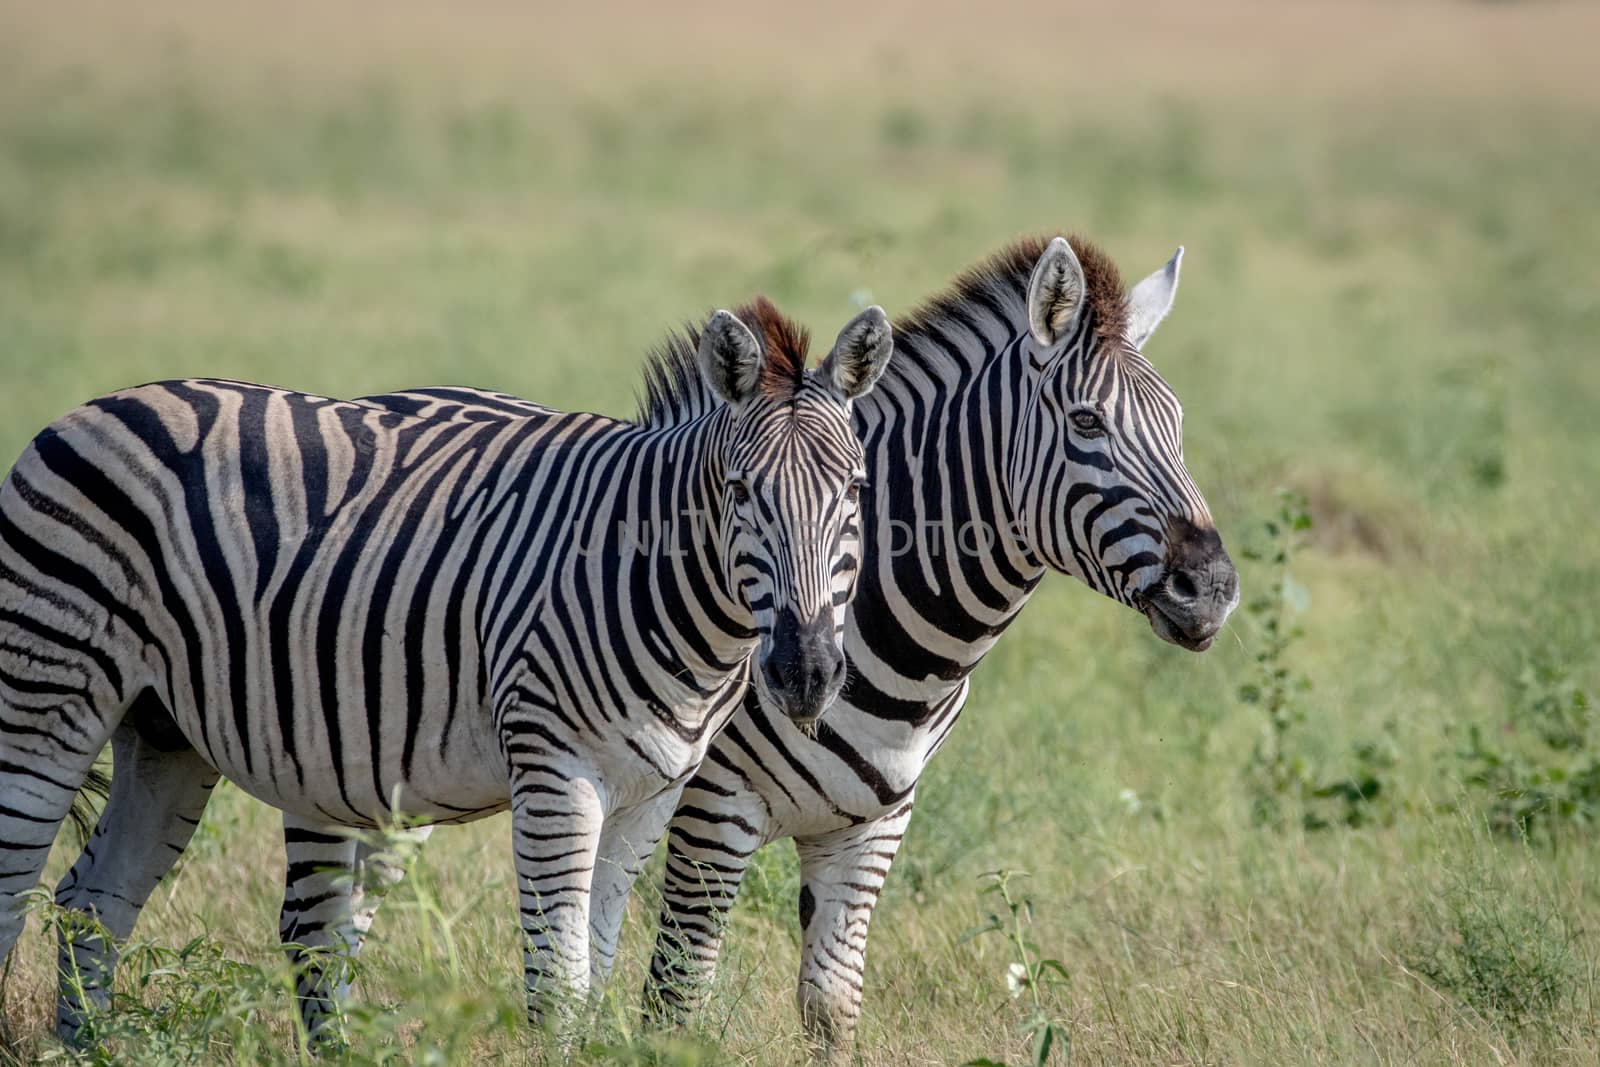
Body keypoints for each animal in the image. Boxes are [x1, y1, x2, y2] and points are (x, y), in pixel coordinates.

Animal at [0, 294, 896, 1043]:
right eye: (742, 492)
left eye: (857, 490)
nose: (807, 672)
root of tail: (95, 406)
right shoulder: (554, 772)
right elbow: (558, 987)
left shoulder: (652, 792)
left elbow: (597, 972)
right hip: (47, 692)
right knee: (17, 885)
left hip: (165, 730)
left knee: (93, 901)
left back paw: (85, 1048)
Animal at [643, 235, 1241, 1062]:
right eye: (1086, 421)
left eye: (1178, 423)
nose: (1212, 588)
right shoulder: (711, 810)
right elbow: (674, 1001)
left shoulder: (869, 826)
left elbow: (830, 1007)